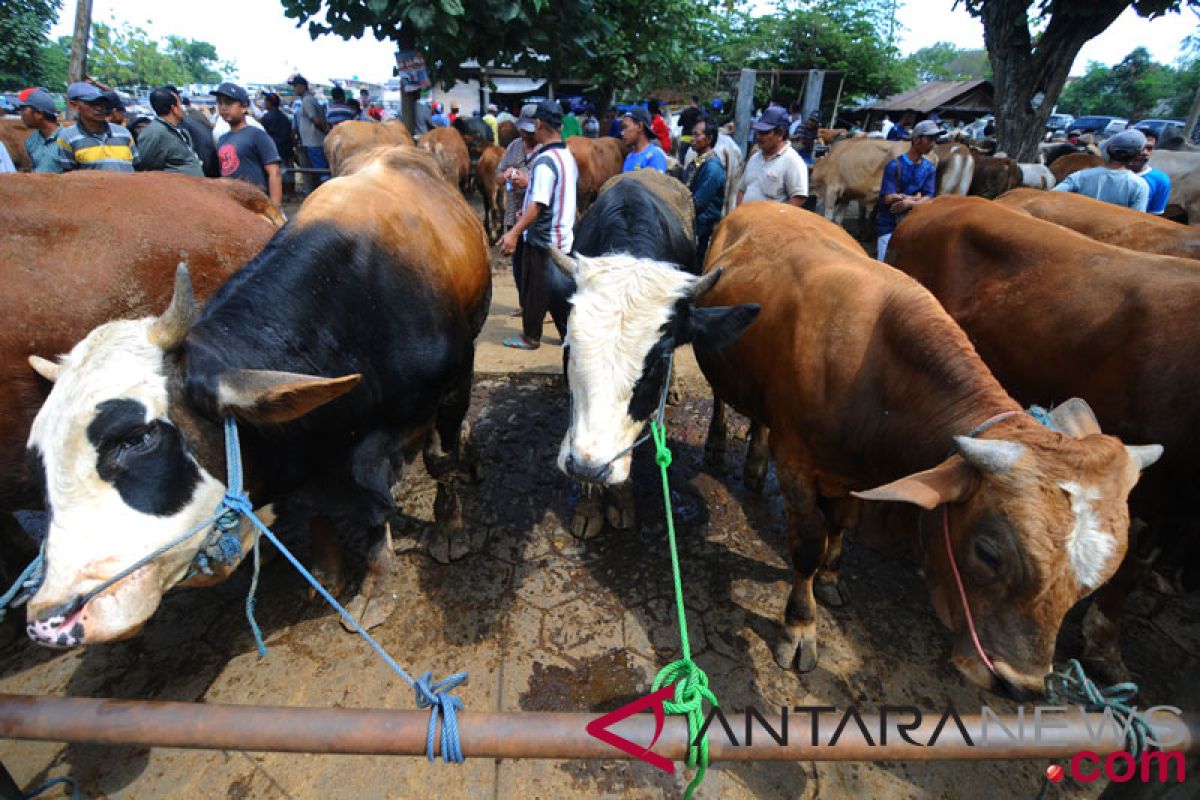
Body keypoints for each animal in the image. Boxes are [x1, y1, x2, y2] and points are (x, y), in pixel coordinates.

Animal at [19, 148, 487, 652]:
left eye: (137, 438)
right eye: (39, 457)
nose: (50, 618)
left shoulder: (451, 388)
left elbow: (438, 462)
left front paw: (436, 539)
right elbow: (321, 510)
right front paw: (329, 574)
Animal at [700, 200, 1156, 695]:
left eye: (1091, 584)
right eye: (987, 553)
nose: (1020, 685)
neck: (874, 376)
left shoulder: (854, 475)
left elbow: (839, 524)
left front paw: (832, 576)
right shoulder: (797, 466)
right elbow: (807, 545)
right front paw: (800, 627)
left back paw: (754, 463)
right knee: (723, 399)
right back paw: (718, 445)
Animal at [883, 194, 1190, 681]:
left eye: (1084, 585)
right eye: (988, 555)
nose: (1019, 682)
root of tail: (943, 201)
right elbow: (1133, 570)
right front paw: (1104, 648)